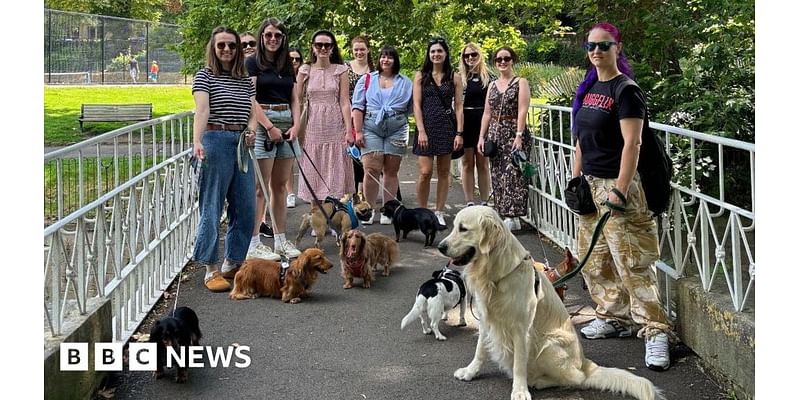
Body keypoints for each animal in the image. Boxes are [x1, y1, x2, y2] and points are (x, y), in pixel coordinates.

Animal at [438, 208, 664, 400]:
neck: (495, 273)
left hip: (549, 345)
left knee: (576, 380)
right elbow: (480, 350)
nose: (441, 247)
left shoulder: (521, 328)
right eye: (455, 225)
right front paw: (470, 372)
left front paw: (520, 391)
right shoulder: (487, 320)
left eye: (463, 229)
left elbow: (519, 364)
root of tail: (586, 365)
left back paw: (539, 381)